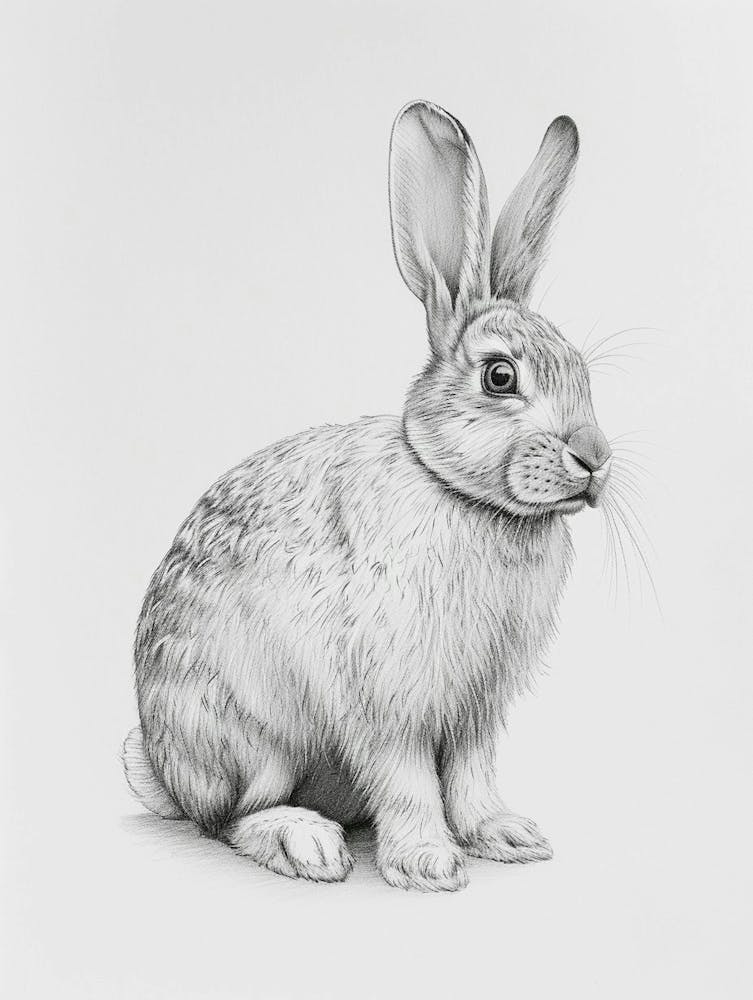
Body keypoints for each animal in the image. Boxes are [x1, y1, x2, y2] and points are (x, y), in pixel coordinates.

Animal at [123, 99, 613, 892]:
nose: (595, 459)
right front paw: (427, 865)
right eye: (500, 376)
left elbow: (471, 774)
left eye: (580, 370)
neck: (462, 495)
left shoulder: (476, 707)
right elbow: (408, 777)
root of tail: (165, 772)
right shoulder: (386, 698)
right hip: (247, 738)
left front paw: (505, 837)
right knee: (225, 819)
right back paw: (306, 844)